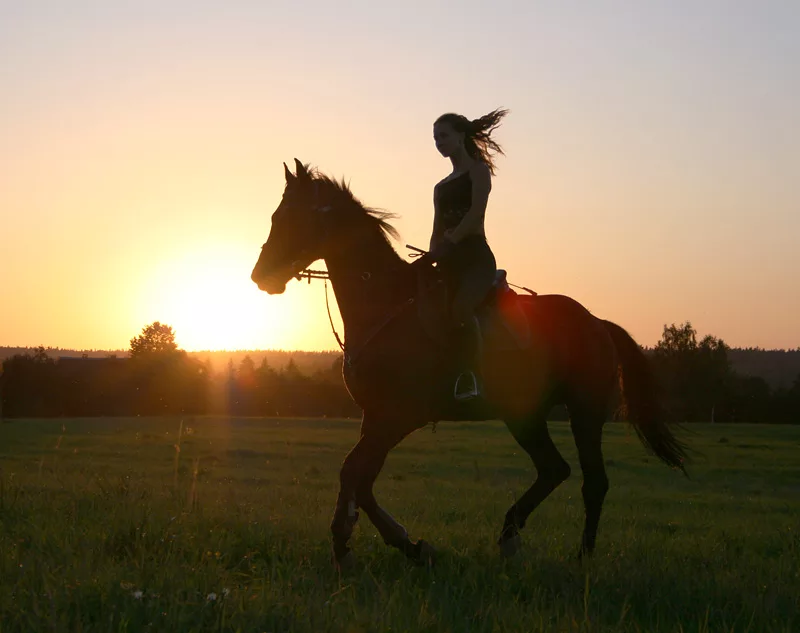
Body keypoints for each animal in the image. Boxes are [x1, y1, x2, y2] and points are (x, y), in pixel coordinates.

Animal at [252, 159, 688, 568]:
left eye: (291, 217)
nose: (260, 276)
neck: (386, 302)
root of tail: (597, 322)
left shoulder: (399, 417)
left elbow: (355, 474)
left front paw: (367, 545)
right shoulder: (374, 417)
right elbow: (359, 478)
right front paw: (387, 544)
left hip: (585, 412)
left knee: (593, 481)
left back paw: (581, 557)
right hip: (524, 415)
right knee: (554, 469)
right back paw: (509, 536)